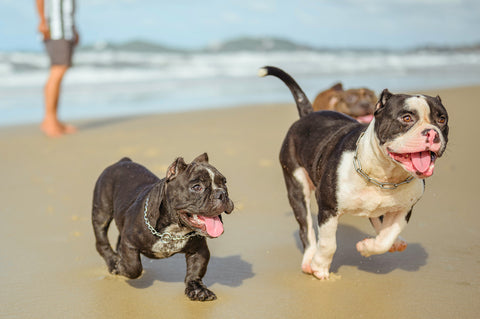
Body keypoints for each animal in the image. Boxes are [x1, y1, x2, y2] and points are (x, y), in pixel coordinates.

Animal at [92, 154, 234, 302]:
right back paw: (113, 261)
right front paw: (120, 267)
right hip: (102, 211)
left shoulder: (199, 250)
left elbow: (196, 270)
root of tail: (123, 161)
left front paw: (197, 289)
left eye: (224, 183)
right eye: (197, 187)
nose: (222, 193)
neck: (174, 230)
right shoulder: (129, 242)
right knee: (101, 239)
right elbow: (134, 267)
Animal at [258, 67, 450, 280]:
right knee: (306, 229)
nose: (432, 132)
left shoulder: (405, 208)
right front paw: (320, 266)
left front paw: (368, 247)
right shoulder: (328, 208)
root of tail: (307, 115)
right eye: (406, 118)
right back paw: (309, 259)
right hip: (297, 188)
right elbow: (328, 244)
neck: (384, 173)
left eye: (442, 119)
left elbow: (386, 237)